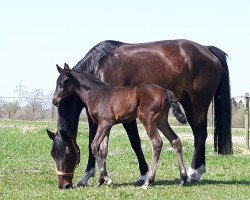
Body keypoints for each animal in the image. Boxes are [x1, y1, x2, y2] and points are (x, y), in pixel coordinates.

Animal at [51, 64, 187, 189]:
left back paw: (148, 181)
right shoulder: (107, 125)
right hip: (161, 121)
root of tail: (164, 91)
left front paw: (107, 180)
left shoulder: (105, 123)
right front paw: (100, 181)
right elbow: (103, 150)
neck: (96, 94)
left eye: (62, 83)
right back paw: (183, 179)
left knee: (157, 142)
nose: (54, 101)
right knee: (175, 140)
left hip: (148, 120)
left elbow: (94, 145)